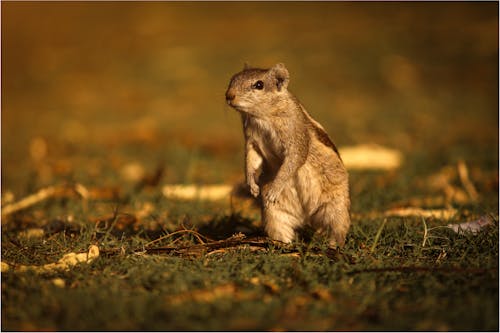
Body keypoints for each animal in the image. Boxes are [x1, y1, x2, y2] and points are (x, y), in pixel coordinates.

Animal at [227, 63, 352, 248]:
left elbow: (293, 160)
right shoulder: (252, 141)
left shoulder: (295, 137)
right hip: (274, 214)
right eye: (233, 78)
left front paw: (274, 189)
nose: (229, 95)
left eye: (259, 85)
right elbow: (251, 160)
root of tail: (307, 217)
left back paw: (333, 246)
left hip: (337, 209)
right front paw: (252, 186)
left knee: (337, 230)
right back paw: (281, 245)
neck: (262, 116)